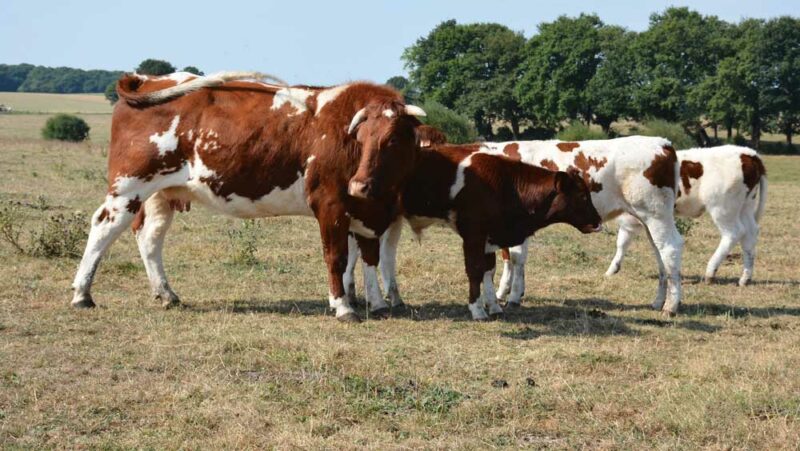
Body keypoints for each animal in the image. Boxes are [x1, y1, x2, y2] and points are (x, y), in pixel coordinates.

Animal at [71, 70, 428, 322]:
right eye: (361, 136)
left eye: (393, 139)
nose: (360, 185)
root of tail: (147, 79)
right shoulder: (330, 204)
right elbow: (337, 257)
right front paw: (343, 307)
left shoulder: (369, 212)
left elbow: (370, 256)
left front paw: (378, 303)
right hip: (129, 187)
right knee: (103, 227)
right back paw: (82, 294)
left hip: (161, 194)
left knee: (149, 237)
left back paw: (166, 294)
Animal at [342, 143, 600, 320]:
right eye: (581, 195)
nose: (597, 221)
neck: (504, 183)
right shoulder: (473, 233)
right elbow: (475, 269)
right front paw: (477, 309)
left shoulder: (490, 236)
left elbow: (489, 269)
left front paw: (494, 306)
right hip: (372, 218)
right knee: (368, 256)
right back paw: (375, 302)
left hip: (392, 220)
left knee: (384, 256)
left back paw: (391, 298)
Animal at [608, 145, 768, 286]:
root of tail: (749, 153)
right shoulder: (631, 219)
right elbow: (622, 242)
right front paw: (612, 269)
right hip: (746, 206)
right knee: (750, 233)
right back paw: (745, 279)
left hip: (723, 208)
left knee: (734, 233)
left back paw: (710, 273)